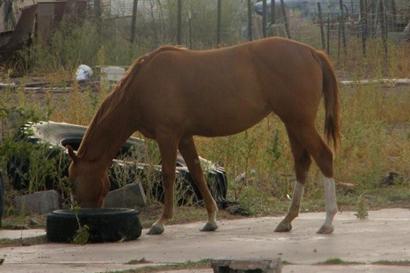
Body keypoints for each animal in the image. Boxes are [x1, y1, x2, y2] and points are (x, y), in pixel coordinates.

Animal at [69, 37, 342, 235]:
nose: (84, 218)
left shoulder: (167, 135)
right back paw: (287, 220)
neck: (143, 84)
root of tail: (312, 53)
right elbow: (197, 172)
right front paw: (211, 219)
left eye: (73, 180)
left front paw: (161, 222)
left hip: (299, 122)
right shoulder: (184, 137)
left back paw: (327, 221)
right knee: (302, 163)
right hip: (293, 123)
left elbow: (168, 174)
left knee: (324, 156)